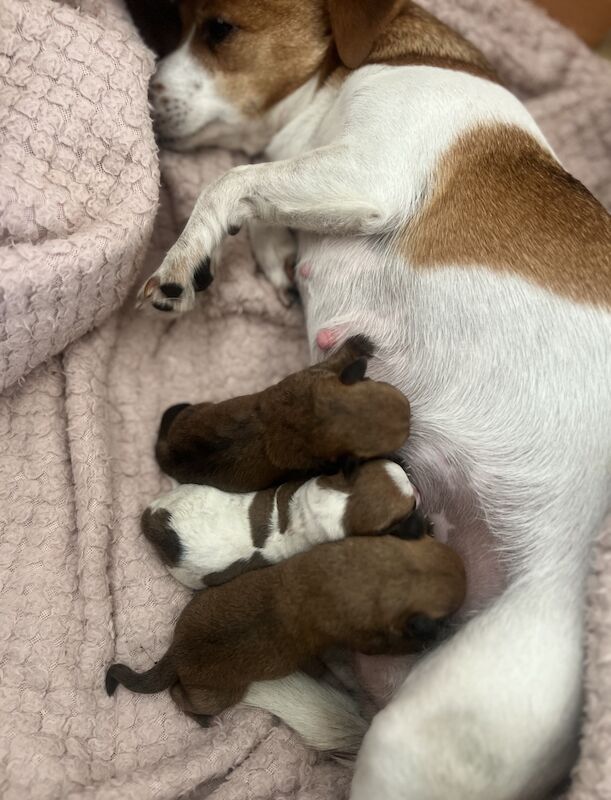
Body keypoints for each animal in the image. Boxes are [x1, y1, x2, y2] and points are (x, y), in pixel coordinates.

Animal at [107, 536, 466, 740]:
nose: (462, 567)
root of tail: (177, 651)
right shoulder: (362, 639)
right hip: (223, 695)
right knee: (178, 697)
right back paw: (202, 720)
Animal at [154, 334, 412, 490]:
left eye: (376, 384)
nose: (410, 415)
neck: (308, 417)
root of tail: (168, 451)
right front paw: (397, 460)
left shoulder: (309, 378)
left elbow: (332, 362)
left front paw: (359, 344)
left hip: (196, 410)